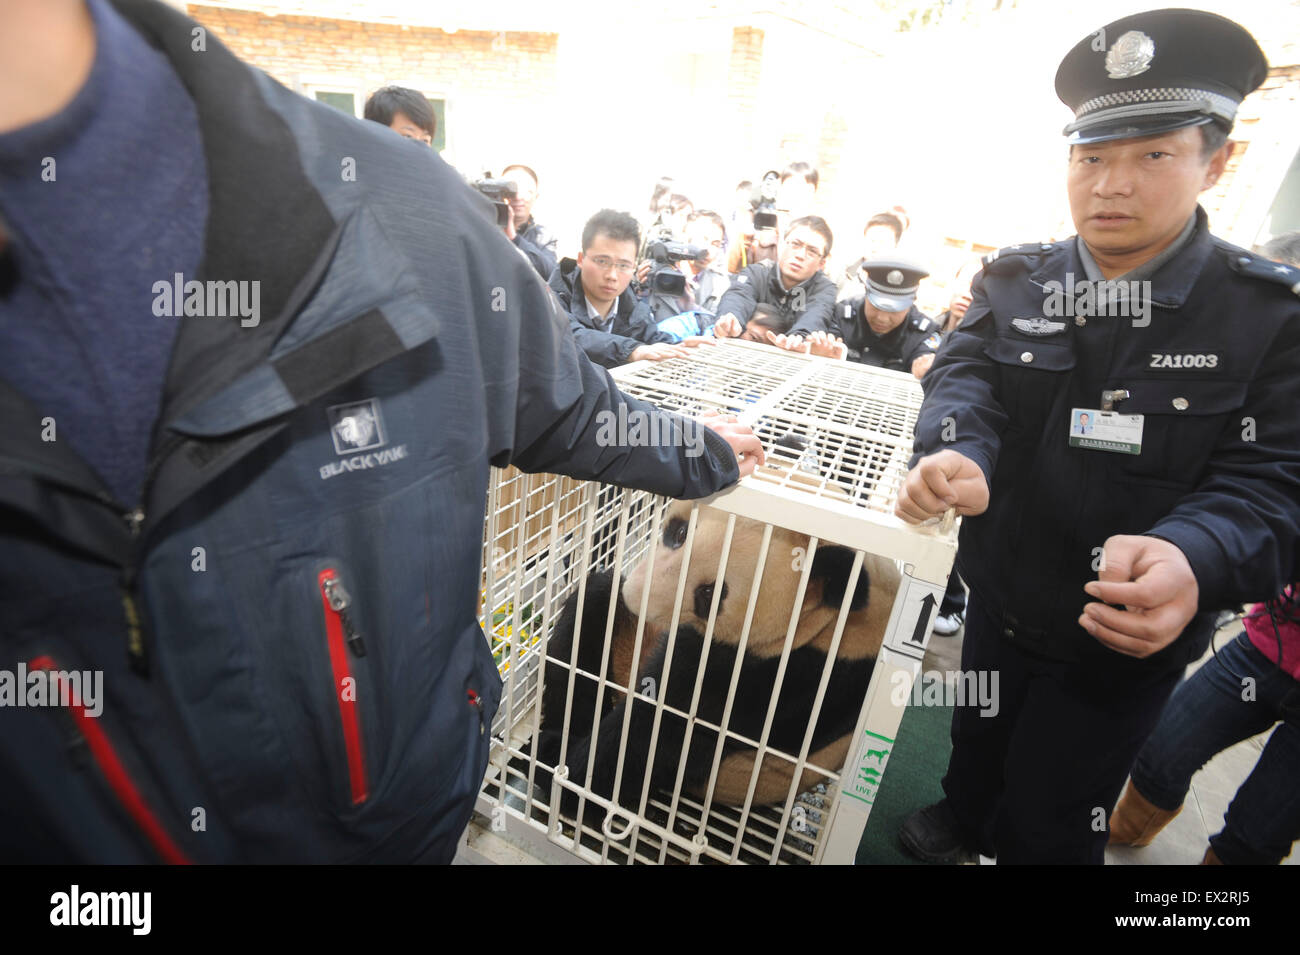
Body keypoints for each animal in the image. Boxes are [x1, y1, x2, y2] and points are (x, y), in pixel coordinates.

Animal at [533, 465, 899, 821]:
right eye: (680, 533)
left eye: (709, 593)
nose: (635, 596)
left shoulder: (787, 682)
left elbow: (657, 730)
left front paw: (562, 770)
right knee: (594, 605)